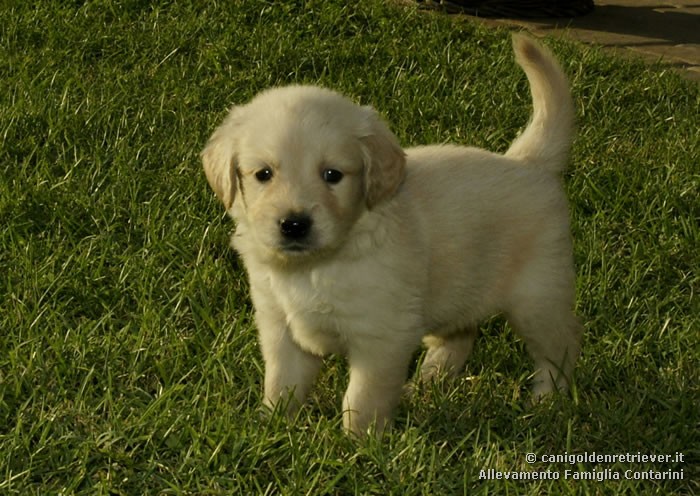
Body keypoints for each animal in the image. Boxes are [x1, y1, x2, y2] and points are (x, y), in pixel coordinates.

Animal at [201, 34, 580, 434]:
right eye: (263, 174)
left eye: (332, 175)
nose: (294, 224)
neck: (317, 266)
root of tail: (527, 163)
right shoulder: (279, 324)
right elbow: (281, 382)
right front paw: (271, 426)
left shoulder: (382, 336)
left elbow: (362, 398)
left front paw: (358, 442)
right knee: (460, 338)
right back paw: (426, 384)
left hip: (537, 298)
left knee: (562, 345)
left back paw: (546, 399)